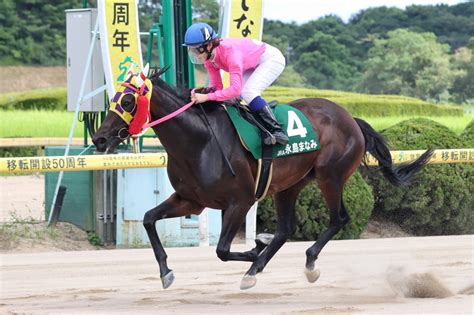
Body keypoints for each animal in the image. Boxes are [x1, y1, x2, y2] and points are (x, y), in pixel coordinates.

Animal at [92, 69, 434, 292]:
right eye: (112, 99)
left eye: (127, 102)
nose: (99, 139)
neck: (199, 141)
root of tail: (350, 117)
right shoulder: (191, 200)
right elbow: (149, 219)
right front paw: (166, 271)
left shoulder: (240, 201)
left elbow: (222, 249)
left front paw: (254, 248)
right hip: (291, 185)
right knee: (285, 229)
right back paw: (258, 266)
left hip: (331, 175)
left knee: (339, 219)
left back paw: (305, 263)